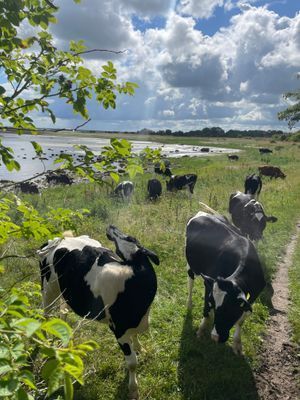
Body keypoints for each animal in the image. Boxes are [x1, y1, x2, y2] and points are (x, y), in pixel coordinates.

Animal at [37, 227, 159, 398]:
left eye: (130, 238)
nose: (112, 227)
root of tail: (58, 239)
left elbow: (135, 336)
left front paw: (140, 348)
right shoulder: (118, 329)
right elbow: (132, 363)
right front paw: (133, 390)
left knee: (63, 311)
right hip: (48, 288)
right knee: (45, 313)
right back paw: (47, 342)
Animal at [186, 211, 266, 354]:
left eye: (231, 307)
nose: (215, 337)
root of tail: (202, 213)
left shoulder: (254, 295)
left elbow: (241, 320)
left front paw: (237, 344)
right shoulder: (209, 285)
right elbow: (206, 309)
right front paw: (201, 330)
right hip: (191, 267)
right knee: (190, 284)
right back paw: (189, 304)